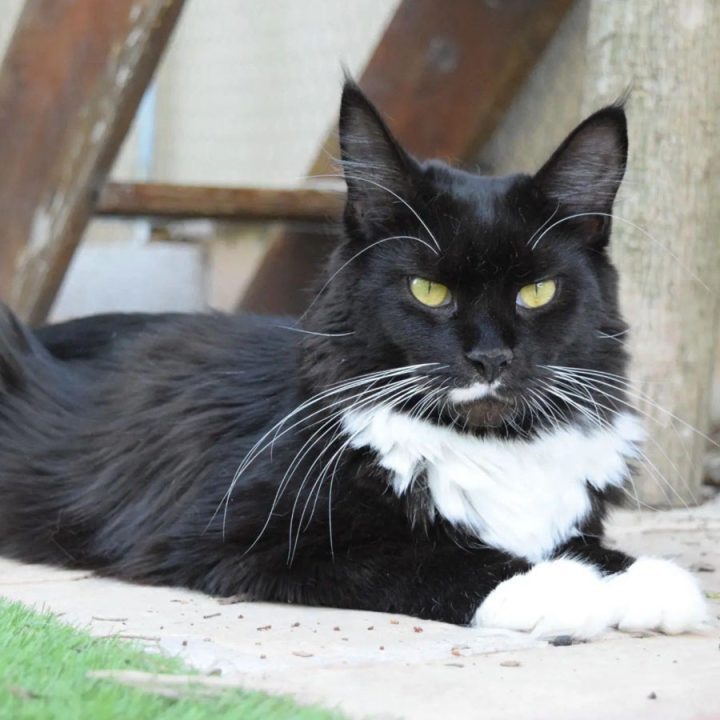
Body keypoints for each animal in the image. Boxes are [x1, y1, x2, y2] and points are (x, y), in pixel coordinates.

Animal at [0, 81, 708, 640]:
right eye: (428, 291)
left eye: (536, 292)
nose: (490, 356)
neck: (493, 448)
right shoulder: (243, 537)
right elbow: (427, 557)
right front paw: (556, 586)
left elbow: (592, 547)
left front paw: (644, 579)